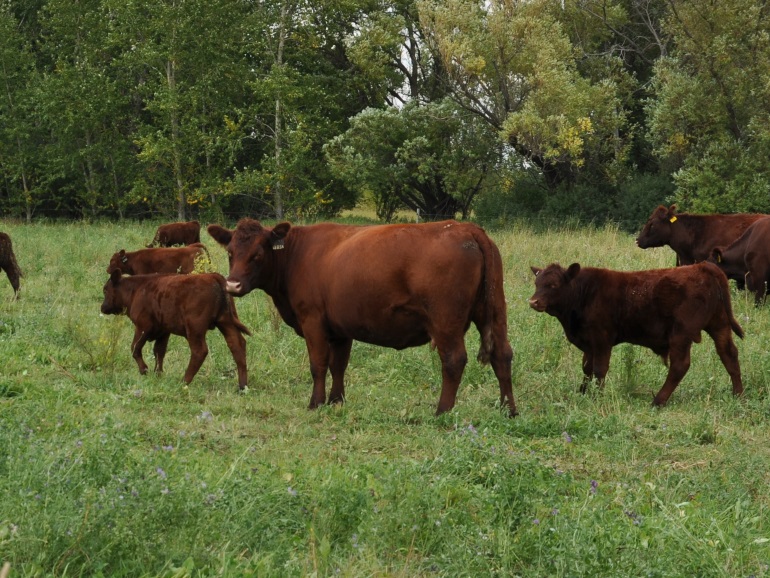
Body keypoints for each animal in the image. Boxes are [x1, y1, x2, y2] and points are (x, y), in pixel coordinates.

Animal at [101, 270, 250, 388]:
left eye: (105, 289)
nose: (102, 307)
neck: (136, 290)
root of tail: (212, 276)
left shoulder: (143, 326)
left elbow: (135, 348)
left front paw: (144, 370)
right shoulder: (163, 331)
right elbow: (159, 351)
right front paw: (158, 373)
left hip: (195, 329)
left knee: (199, 351)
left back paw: (184, 381)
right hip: (225, 322)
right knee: (237, 345)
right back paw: (242, 386)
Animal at [207, 218, 517, 417]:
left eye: (258, 254)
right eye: (230, 252)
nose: (232, 285)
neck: (296, 255)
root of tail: (467, 228)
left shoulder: (313, 321)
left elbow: (318, 364)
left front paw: (315, 403)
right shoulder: (340, 329)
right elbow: (338, 365)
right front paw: (336, 401)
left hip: (446, 322)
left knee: (454, 360)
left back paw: (442, 411)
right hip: (494, 312)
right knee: (502, 355)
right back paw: (508, 409)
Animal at [528, 261, 744, 406]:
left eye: (553, 285)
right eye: (537, 283)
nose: (533, 302)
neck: (584, 294)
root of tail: (702, 266)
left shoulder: (602, 338)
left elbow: (599, 369)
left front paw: (598, 396)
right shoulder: (588, 342)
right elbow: (586, 368)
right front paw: (582, 392)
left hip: (681, 333)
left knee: (680, 366)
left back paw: (658, 401)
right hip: (719, 325)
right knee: (729, 355)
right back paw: (737, 394)